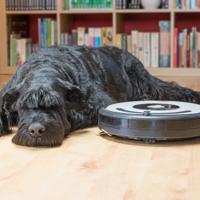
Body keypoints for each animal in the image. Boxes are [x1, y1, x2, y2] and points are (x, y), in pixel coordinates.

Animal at [0, 46, 200, 147]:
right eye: (23, 106)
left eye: (56, 105)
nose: (36, 130)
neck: (45, 66)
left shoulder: (98, 103)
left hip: (142, 79)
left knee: (168, 89)